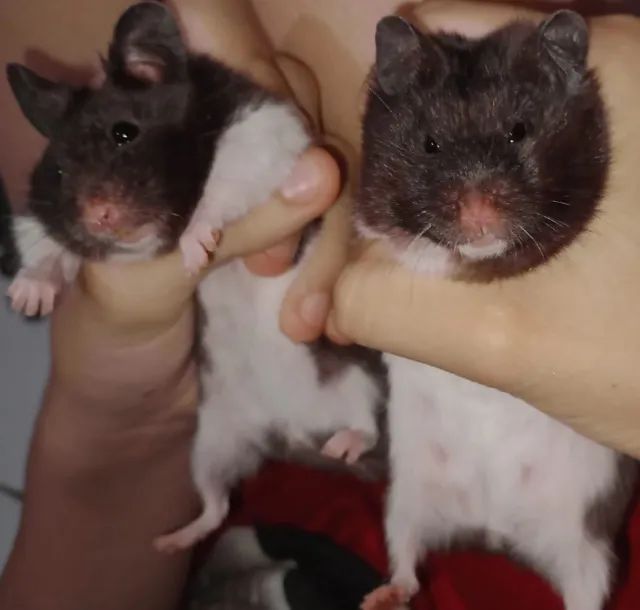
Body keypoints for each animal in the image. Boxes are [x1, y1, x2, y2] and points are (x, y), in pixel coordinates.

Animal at [6, 2, 386, 551]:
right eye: (57, 171)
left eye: (125, 132)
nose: (99, 217)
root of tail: (289, 431)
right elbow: (50, 246)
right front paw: (26, 297)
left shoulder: (265, 134)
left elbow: (222, 190)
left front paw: (193, 249)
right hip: (212, 442)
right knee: (217, 506)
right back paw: (167, 540)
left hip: (360, 382)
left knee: (368, 425)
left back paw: (346, 445)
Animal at [357, 11, 637, 610]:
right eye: (430, 144)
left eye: (519, 131)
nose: (479, 215)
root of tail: (494, 532)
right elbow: (400, 237)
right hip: (405, 500)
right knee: (407, 560)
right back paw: (380, 597)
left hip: (591, 546)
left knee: (583, 589)